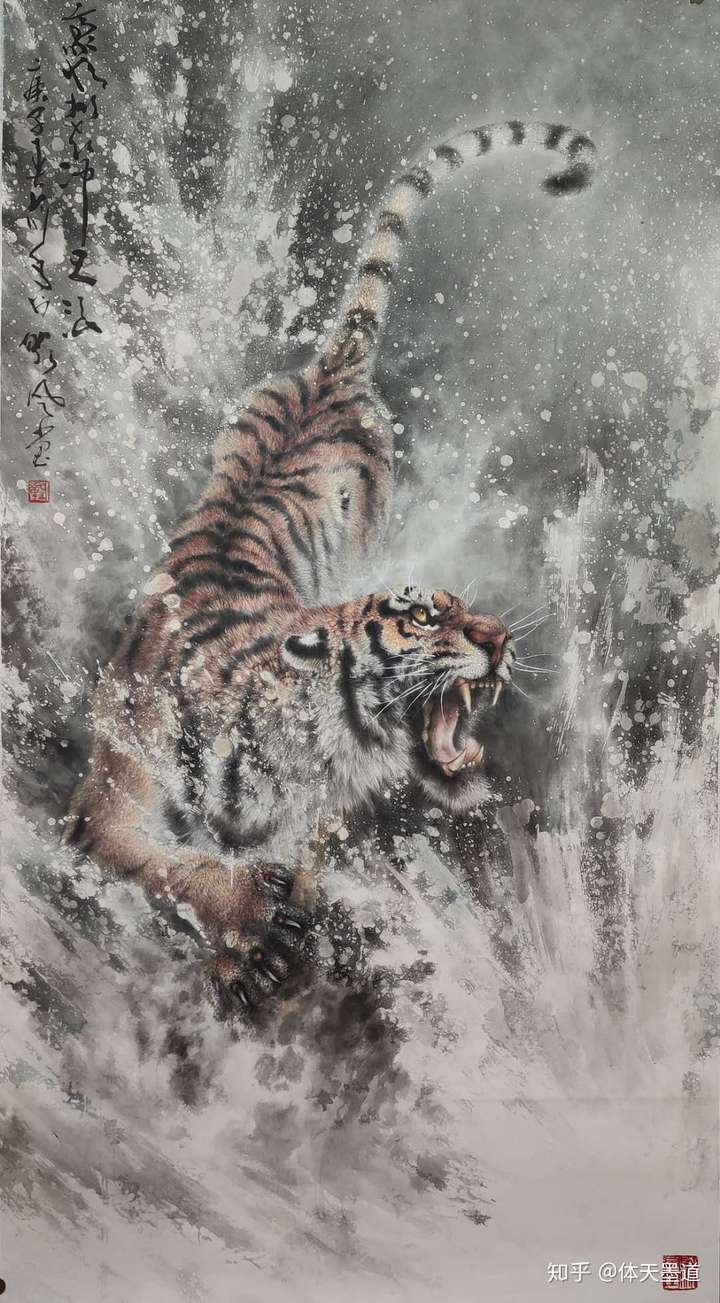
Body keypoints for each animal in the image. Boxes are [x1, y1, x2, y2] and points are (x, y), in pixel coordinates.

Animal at [66, 120, 596, 1012]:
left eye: (465, 607)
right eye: (425, 616)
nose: (500, 639)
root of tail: (333, 362)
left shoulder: (310, 813)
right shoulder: (107, 801)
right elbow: (164, 864)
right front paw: (245, 931)